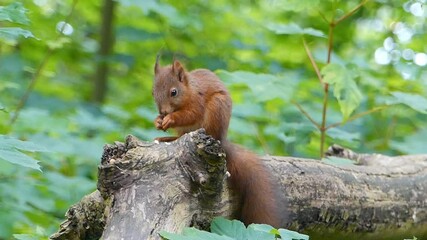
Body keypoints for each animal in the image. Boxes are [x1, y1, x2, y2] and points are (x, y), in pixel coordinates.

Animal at [152, 56, 282, 227]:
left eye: (174, 92)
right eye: (153, 92)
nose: (163, 112)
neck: (189, 91)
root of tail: (221, 139)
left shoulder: (197, 103)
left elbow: (191, 114)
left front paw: (170, 119)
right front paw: (158, 121)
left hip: (216, 109)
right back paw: (169, 138)